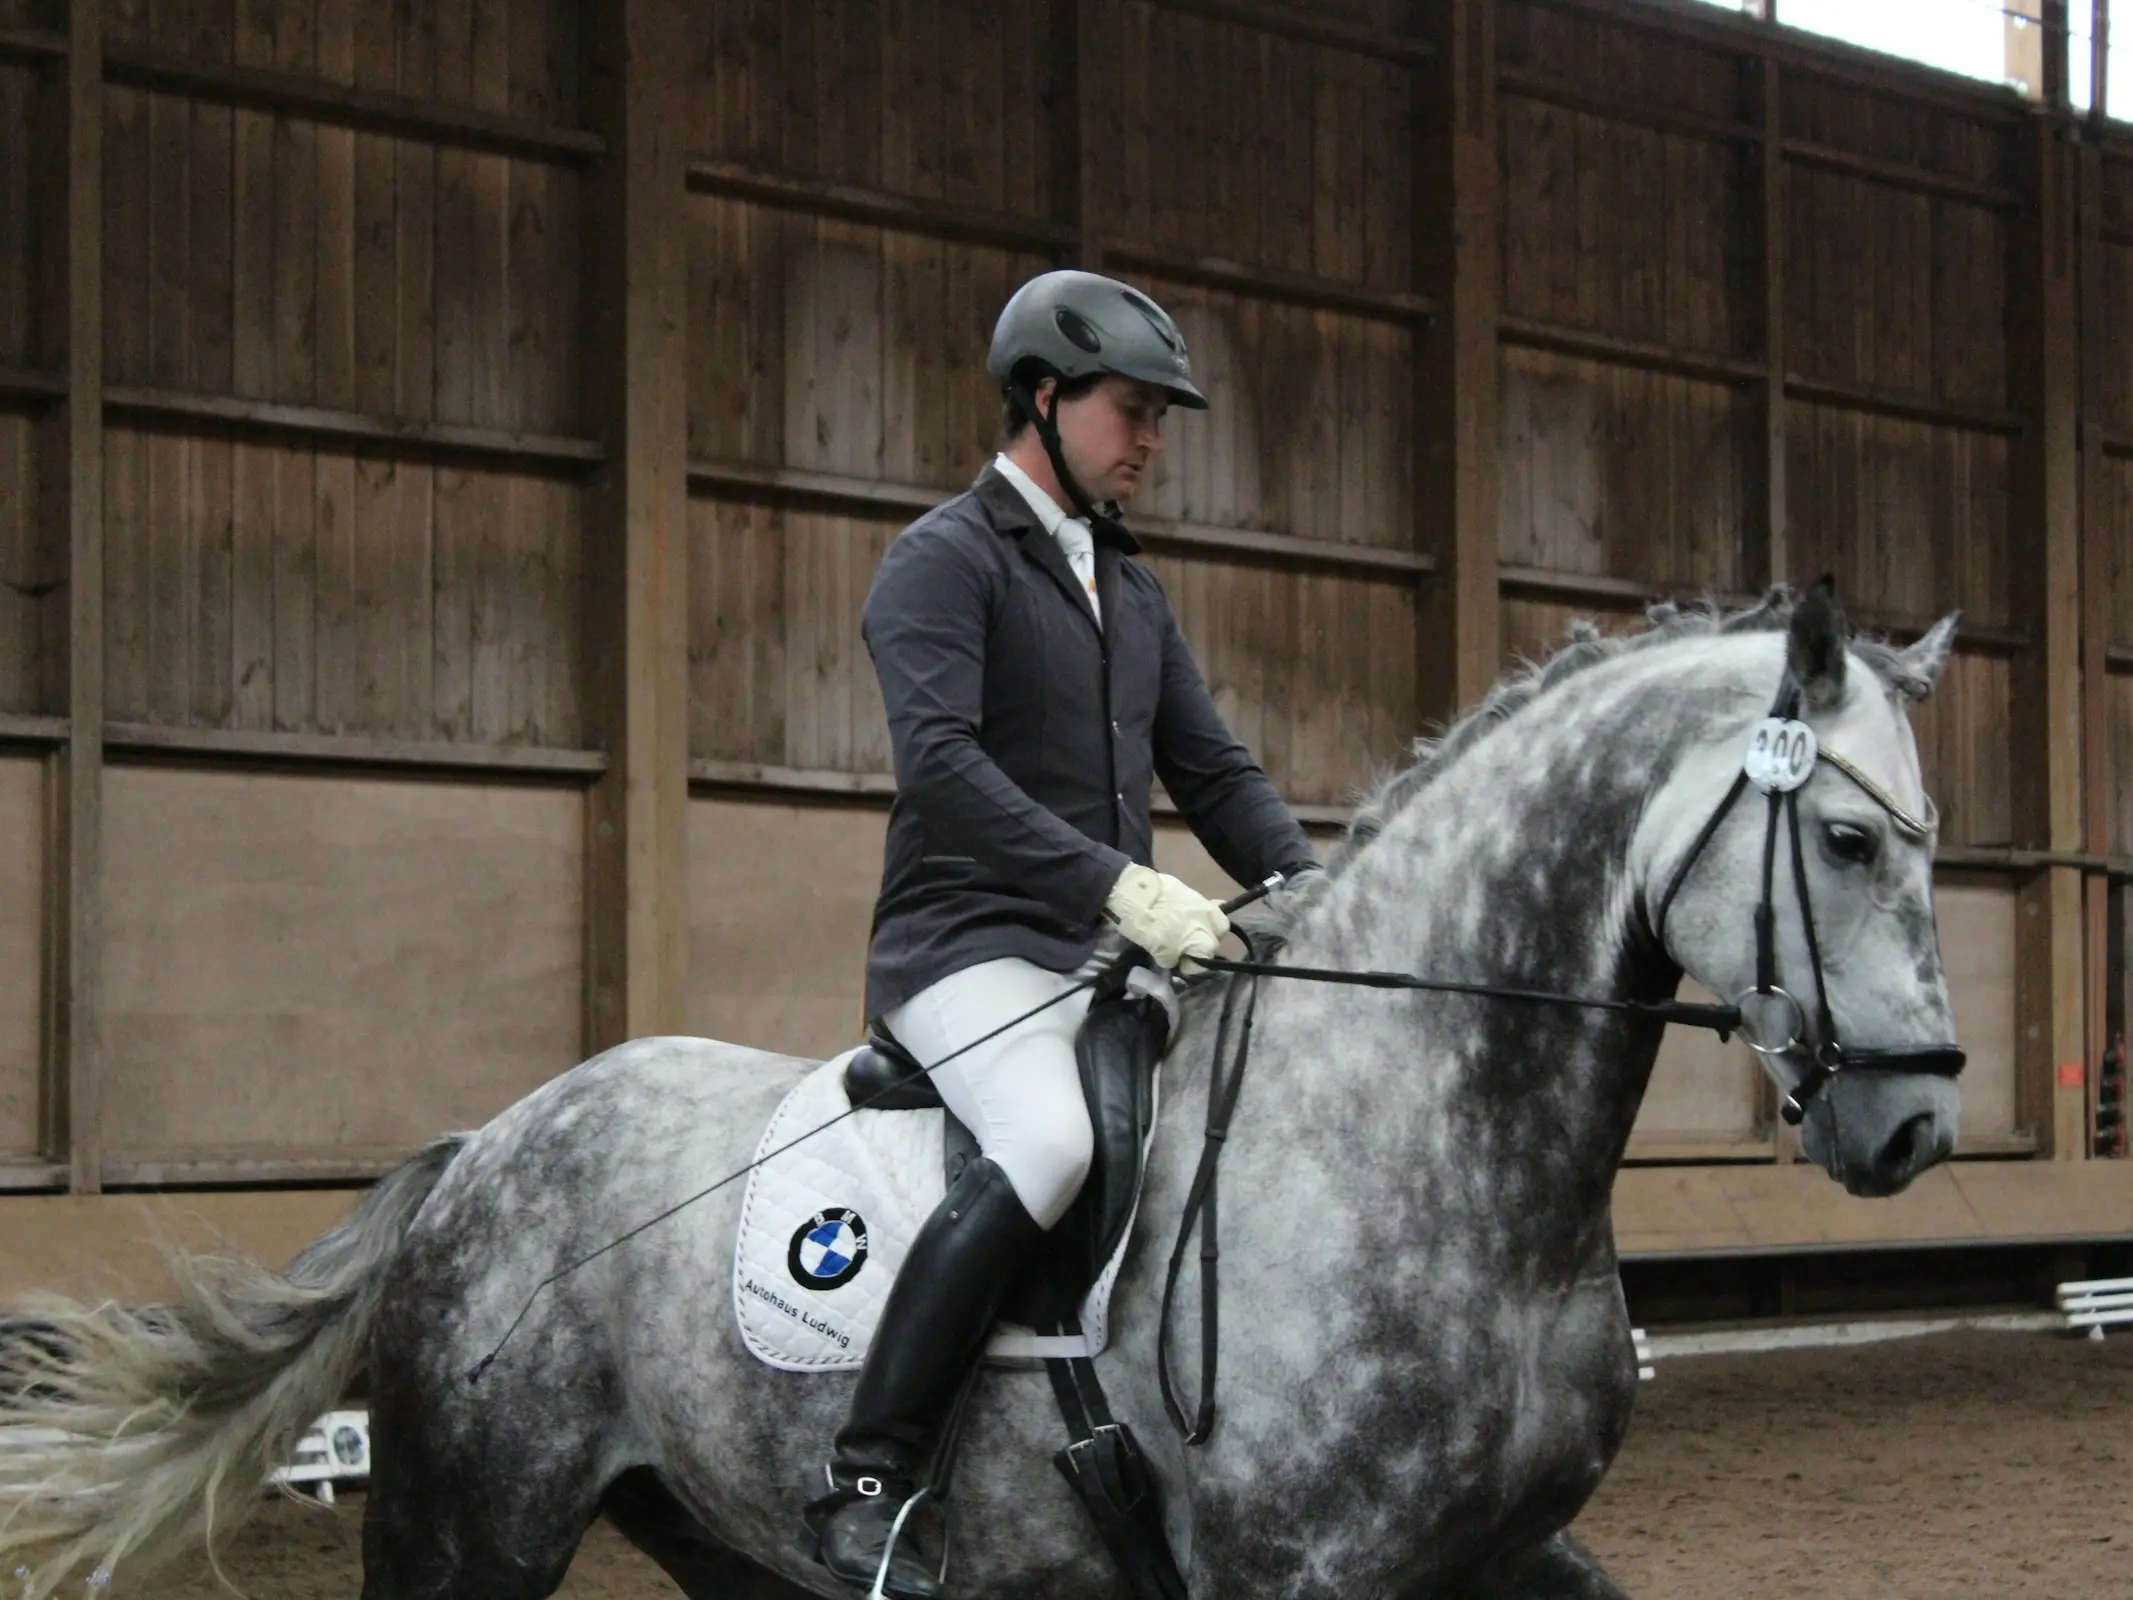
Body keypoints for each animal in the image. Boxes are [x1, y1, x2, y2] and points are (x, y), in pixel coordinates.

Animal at [0, 585, 1965, 1599]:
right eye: (1847, 839)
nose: (1919, 1122)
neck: (1432, 1142)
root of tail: (492, 1141)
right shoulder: (1304, 1577)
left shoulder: (1492, 1560)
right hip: (464, 1526)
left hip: (723, 1538)